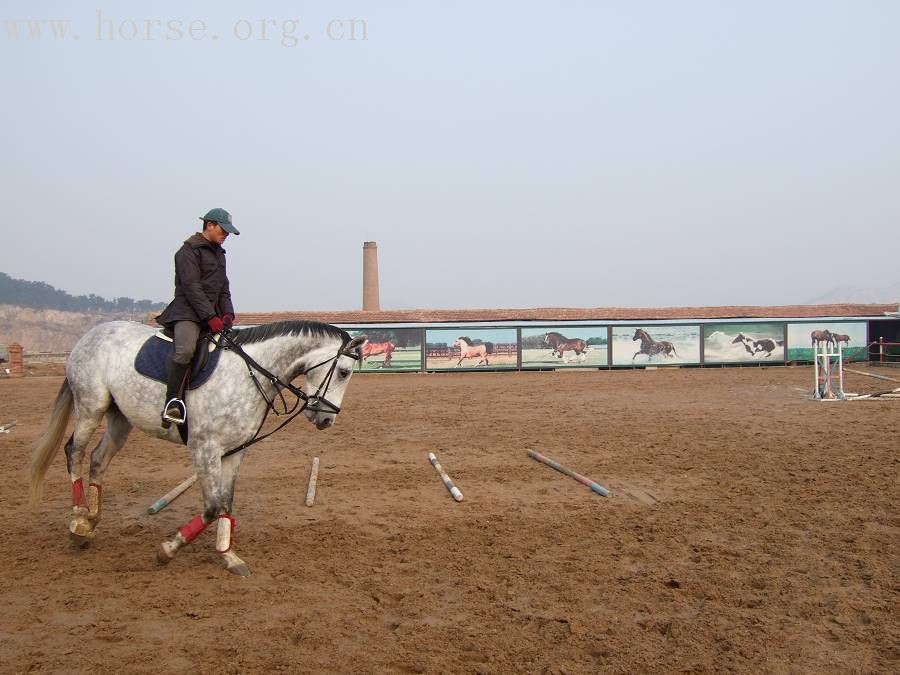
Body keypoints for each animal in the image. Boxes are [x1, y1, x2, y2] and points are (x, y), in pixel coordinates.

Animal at [29, 320, 366, 576]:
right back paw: (77, 521)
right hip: (91, 407)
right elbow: (213, 506)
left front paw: (228, 555)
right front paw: (168, 549)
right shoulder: (204, 449)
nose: (326, 419)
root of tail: (90, 334)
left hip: (119, 419)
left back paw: (92, 520)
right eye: (344, 372)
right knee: (74, 452)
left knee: (98, 460)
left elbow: (226, 503)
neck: (249, 376)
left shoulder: (235, 451)